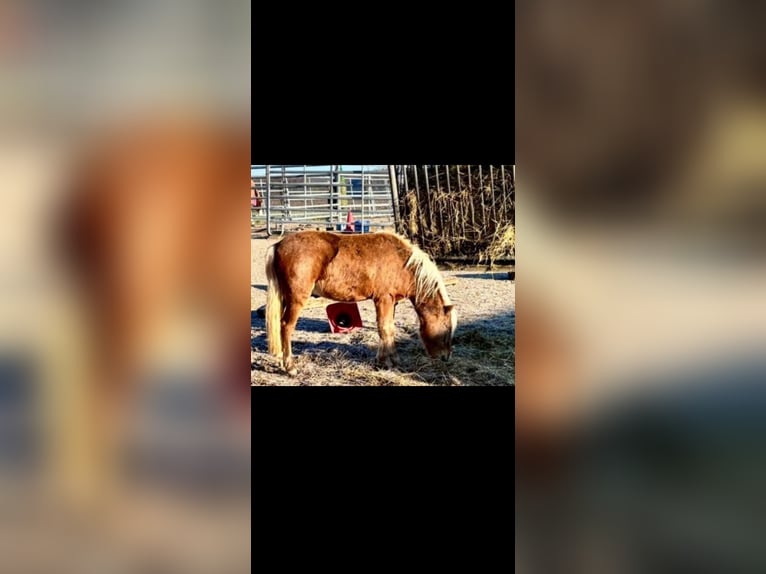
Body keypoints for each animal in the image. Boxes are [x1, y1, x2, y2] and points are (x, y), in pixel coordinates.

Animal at [264, 229, 457, 376]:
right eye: (446, 330)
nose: (446, 357)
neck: (403, 263)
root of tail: (278, 245)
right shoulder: (383, 299)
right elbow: (385, 329)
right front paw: (387, 362)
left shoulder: (391, 302)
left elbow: (389, 329)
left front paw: (389, 359)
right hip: (296, 299)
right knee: (286, 326)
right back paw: (290, 367)